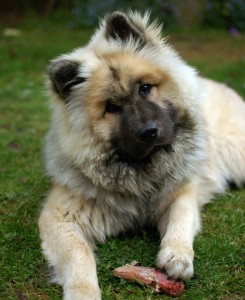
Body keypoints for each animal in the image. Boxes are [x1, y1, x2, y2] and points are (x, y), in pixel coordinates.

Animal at [38, 10, 245, 298]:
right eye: (111, 108)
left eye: (145, 88)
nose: (149, 132)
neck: (142, 171)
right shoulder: (59, 217)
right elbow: (80, 254)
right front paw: (84, 291)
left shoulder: (181, 193)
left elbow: (181, 220)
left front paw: (177, 256)